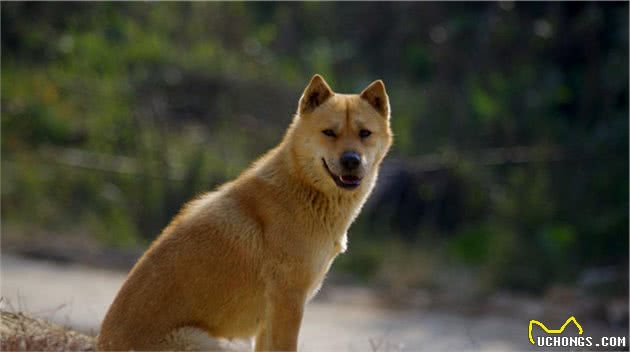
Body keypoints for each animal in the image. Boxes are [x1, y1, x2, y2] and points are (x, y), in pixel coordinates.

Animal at [96, 73, 392, 350]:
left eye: (365, 133)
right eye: (329, 132)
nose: (351, 160)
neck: (303, 188)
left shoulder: (269, 320)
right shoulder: (288, 301)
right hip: (216, 344)